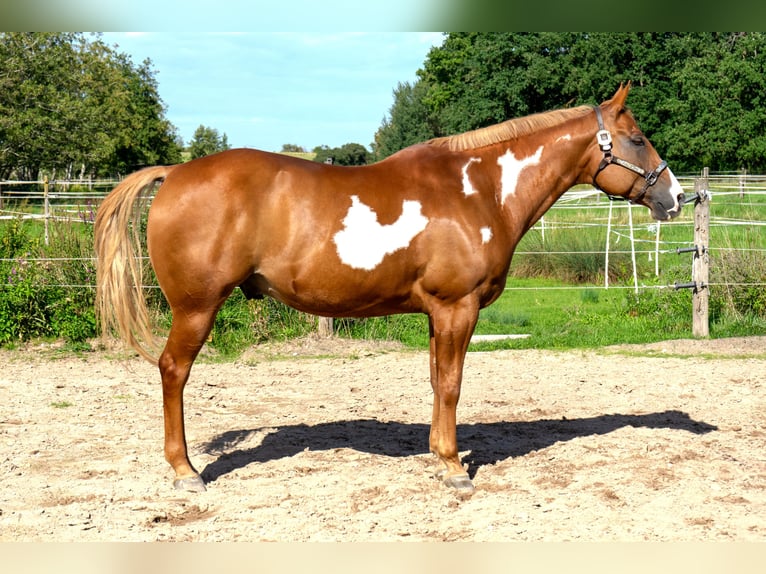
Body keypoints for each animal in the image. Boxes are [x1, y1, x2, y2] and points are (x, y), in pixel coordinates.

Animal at [94, 83, 684, 494]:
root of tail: (174, 173)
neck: (479, 191)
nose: (676, 197)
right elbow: (452, 386)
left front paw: (439, 456)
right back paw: (185, 471)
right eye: (638, 139)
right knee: (174, 372)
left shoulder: (437, 314)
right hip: (196, 308)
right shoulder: (457, 309)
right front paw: (455, 468)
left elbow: (436, 383)